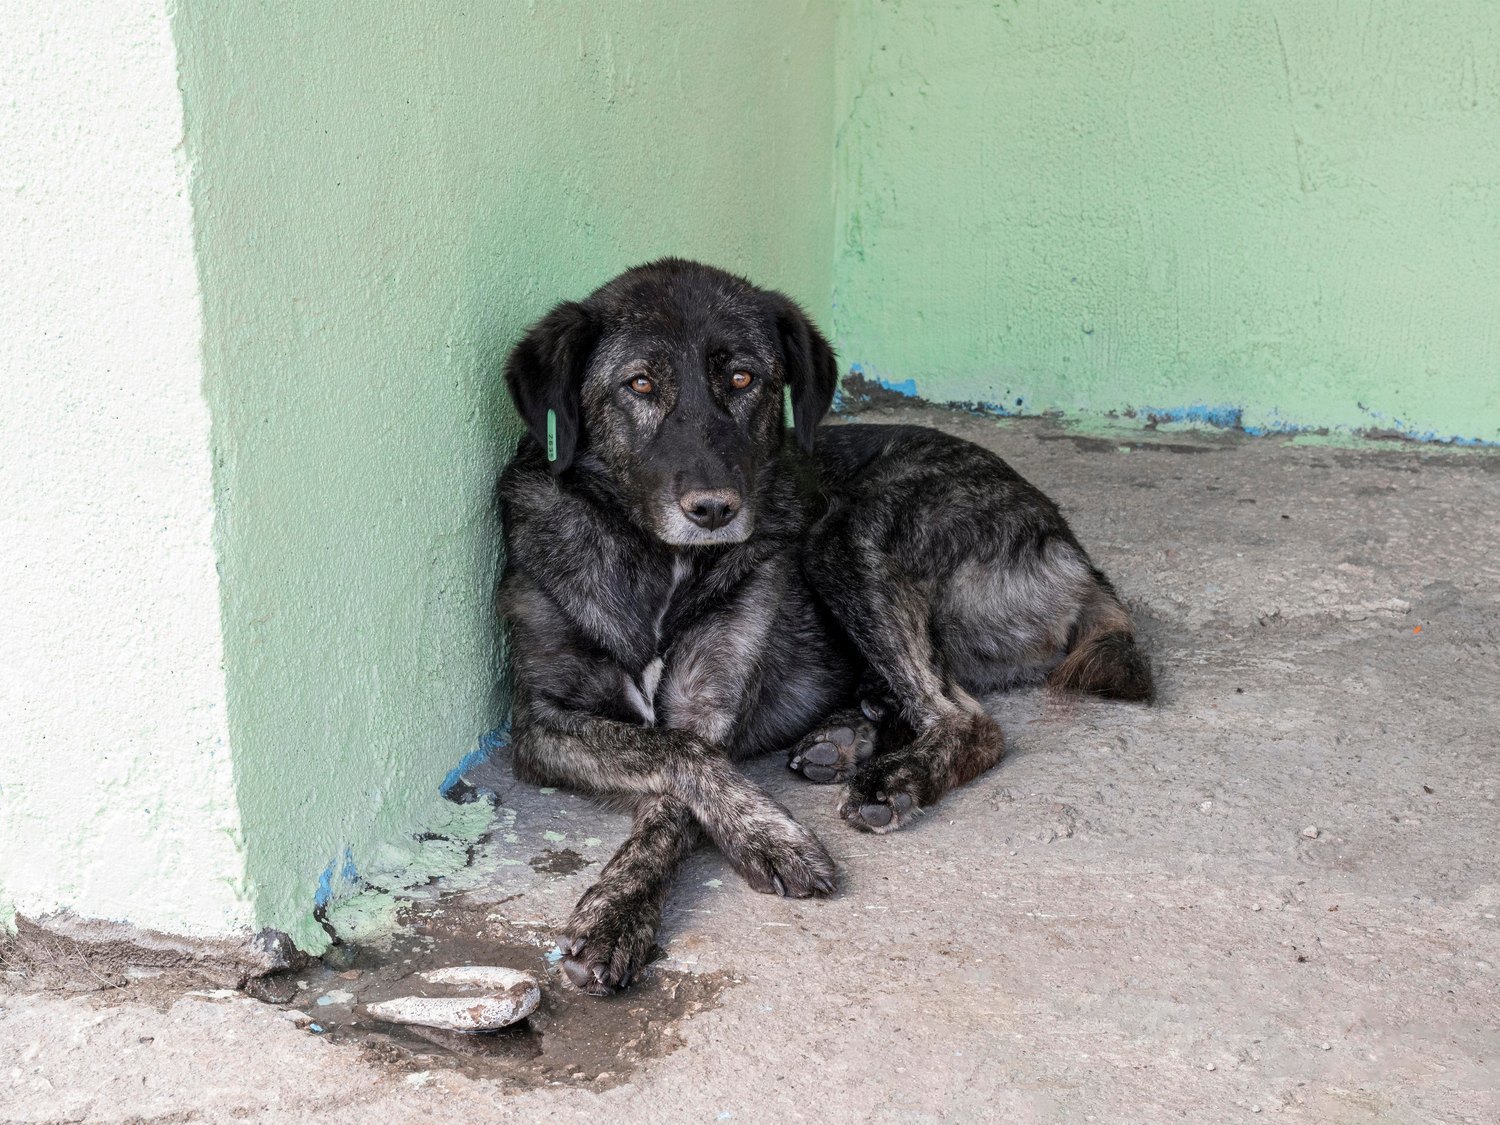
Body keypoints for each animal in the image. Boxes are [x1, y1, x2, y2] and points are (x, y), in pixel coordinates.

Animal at [495, 262, 1146, 996]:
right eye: (639, 384)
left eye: (743, 379)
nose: (715, 509)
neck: (658, 562)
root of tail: (1073, 548)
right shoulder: (539, 720)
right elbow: (671, 757)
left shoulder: (706, 708)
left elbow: (678, 778)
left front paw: (632, 905)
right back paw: (849, 734)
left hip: (847, 532)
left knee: (967, 719)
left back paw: (893, 774)